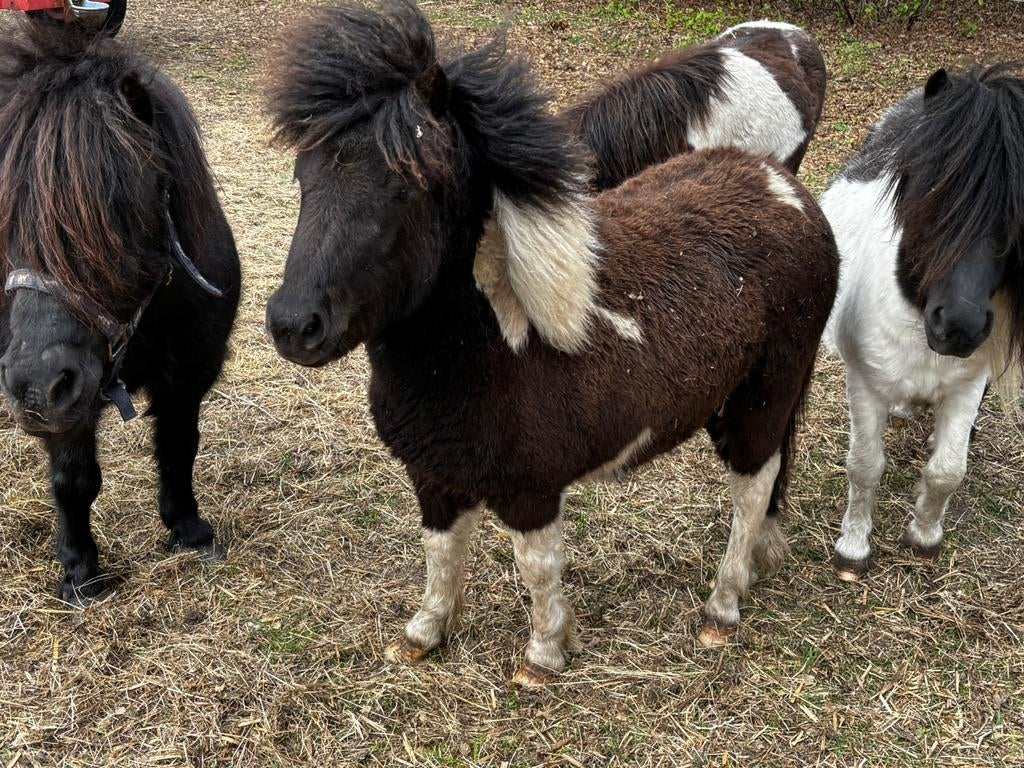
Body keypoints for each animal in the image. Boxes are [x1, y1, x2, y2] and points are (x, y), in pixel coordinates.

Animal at [0, 23, 241, 604]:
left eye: (121, 209)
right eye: (5, 215)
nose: (35, 388)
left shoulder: (189, 376)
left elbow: (179, 447)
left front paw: (188, 529)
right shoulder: (69, 402)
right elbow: (74, 479)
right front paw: (81, 570)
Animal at [822, 65, 1024, 579]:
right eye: (931, 193)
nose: (959, 326)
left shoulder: (966, 386)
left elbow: (947, 471)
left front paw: (924, 536)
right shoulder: (865, 385)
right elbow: (865, 465)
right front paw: (854, 549)